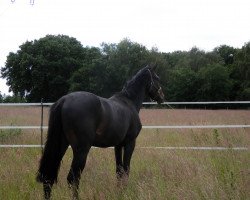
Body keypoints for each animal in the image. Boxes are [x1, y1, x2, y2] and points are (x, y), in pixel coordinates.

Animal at [35, 65, 164, 199]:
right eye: (157, 78)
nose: (162, 97)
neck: (129, 103)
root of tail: (64, 100)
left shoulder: (118, 145)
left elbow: (119, 170)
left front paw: (119, 192)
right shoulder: (130, 143)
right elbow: (126, 169)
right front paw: (125, 191)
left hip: (61, 145)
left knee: (48, 178)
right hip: (81, 150)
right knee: (73, 178)